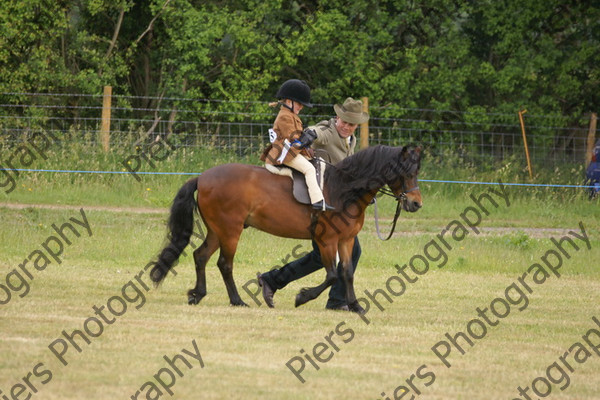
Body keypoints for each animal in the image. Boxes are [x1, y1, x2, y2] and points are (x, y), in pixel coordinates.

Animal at [150, 145, 422, 314]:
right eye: (404, 173)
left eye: (417, 172)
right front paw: (302, 297)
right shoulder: (326, 240)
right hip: (230, 231)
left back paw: (197, 294)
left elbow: (347, 273)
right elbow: (332, 275)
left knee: (201, 256)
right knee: (224, 264)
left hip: (217, 230)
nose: (416, 203)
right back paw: (237, 301)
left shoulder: (345, 240)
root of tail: (202, 177)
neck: (343, 189)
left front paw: (355, 306)